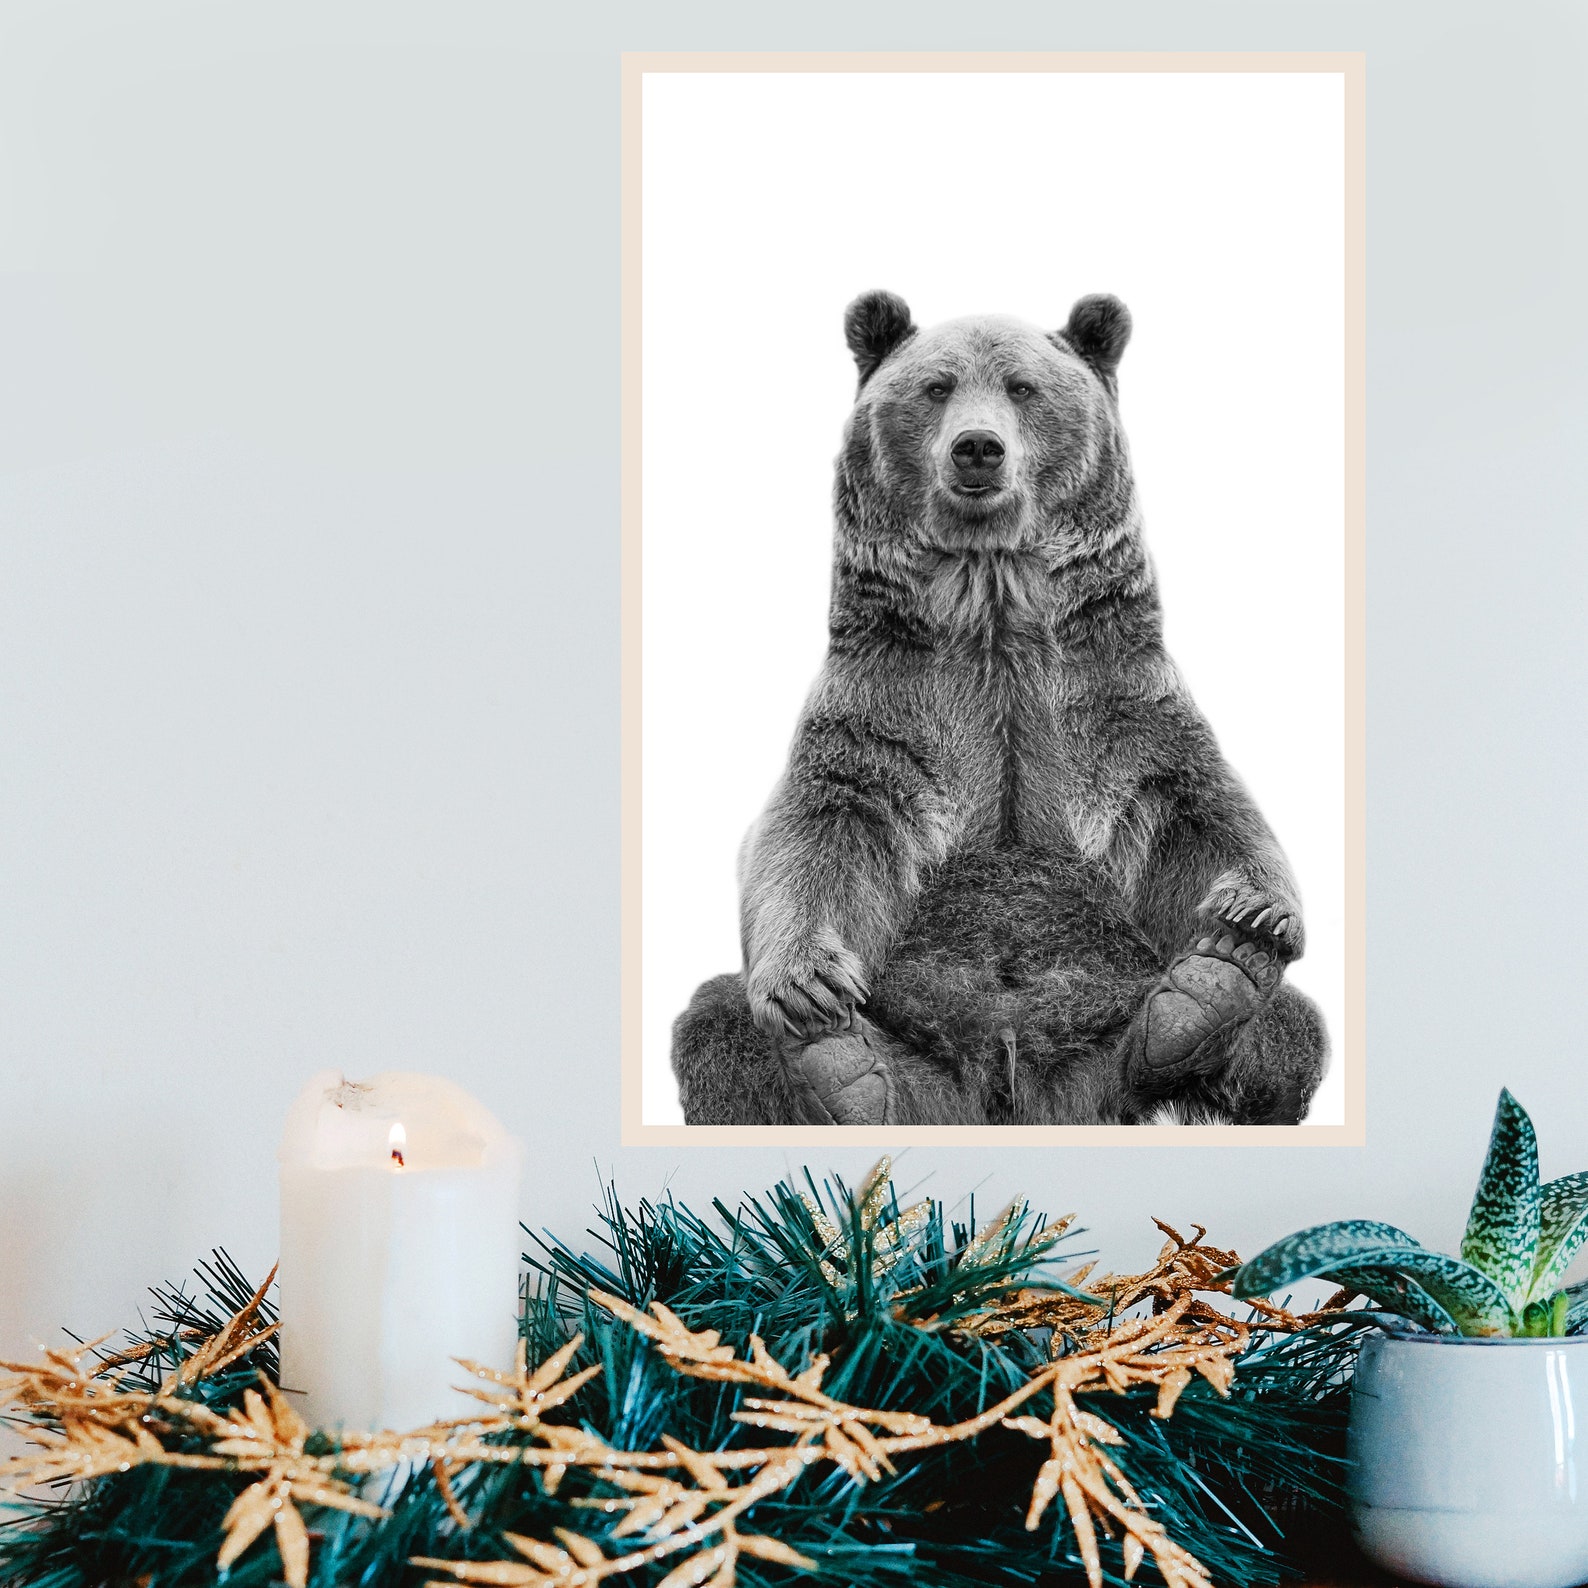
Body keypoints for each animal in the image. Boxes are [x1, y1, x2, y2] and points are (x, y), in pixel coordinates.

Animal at [670, 291, 1328, 1127]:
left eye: (1022, 387)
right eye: (937, 386)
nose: (976, 448)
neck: (992, 605)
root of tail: (1013, 1093)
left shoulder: (1112, 704)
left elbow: (1195, 813)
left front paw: (1254, 916)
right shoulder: (889, 709)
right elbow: (821, 829)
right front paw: (807, 987)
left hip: (1112, 1039)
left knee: (1287, 1027)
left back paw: (1206, 990)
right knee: (718, 1024)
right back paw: (845, 1071)